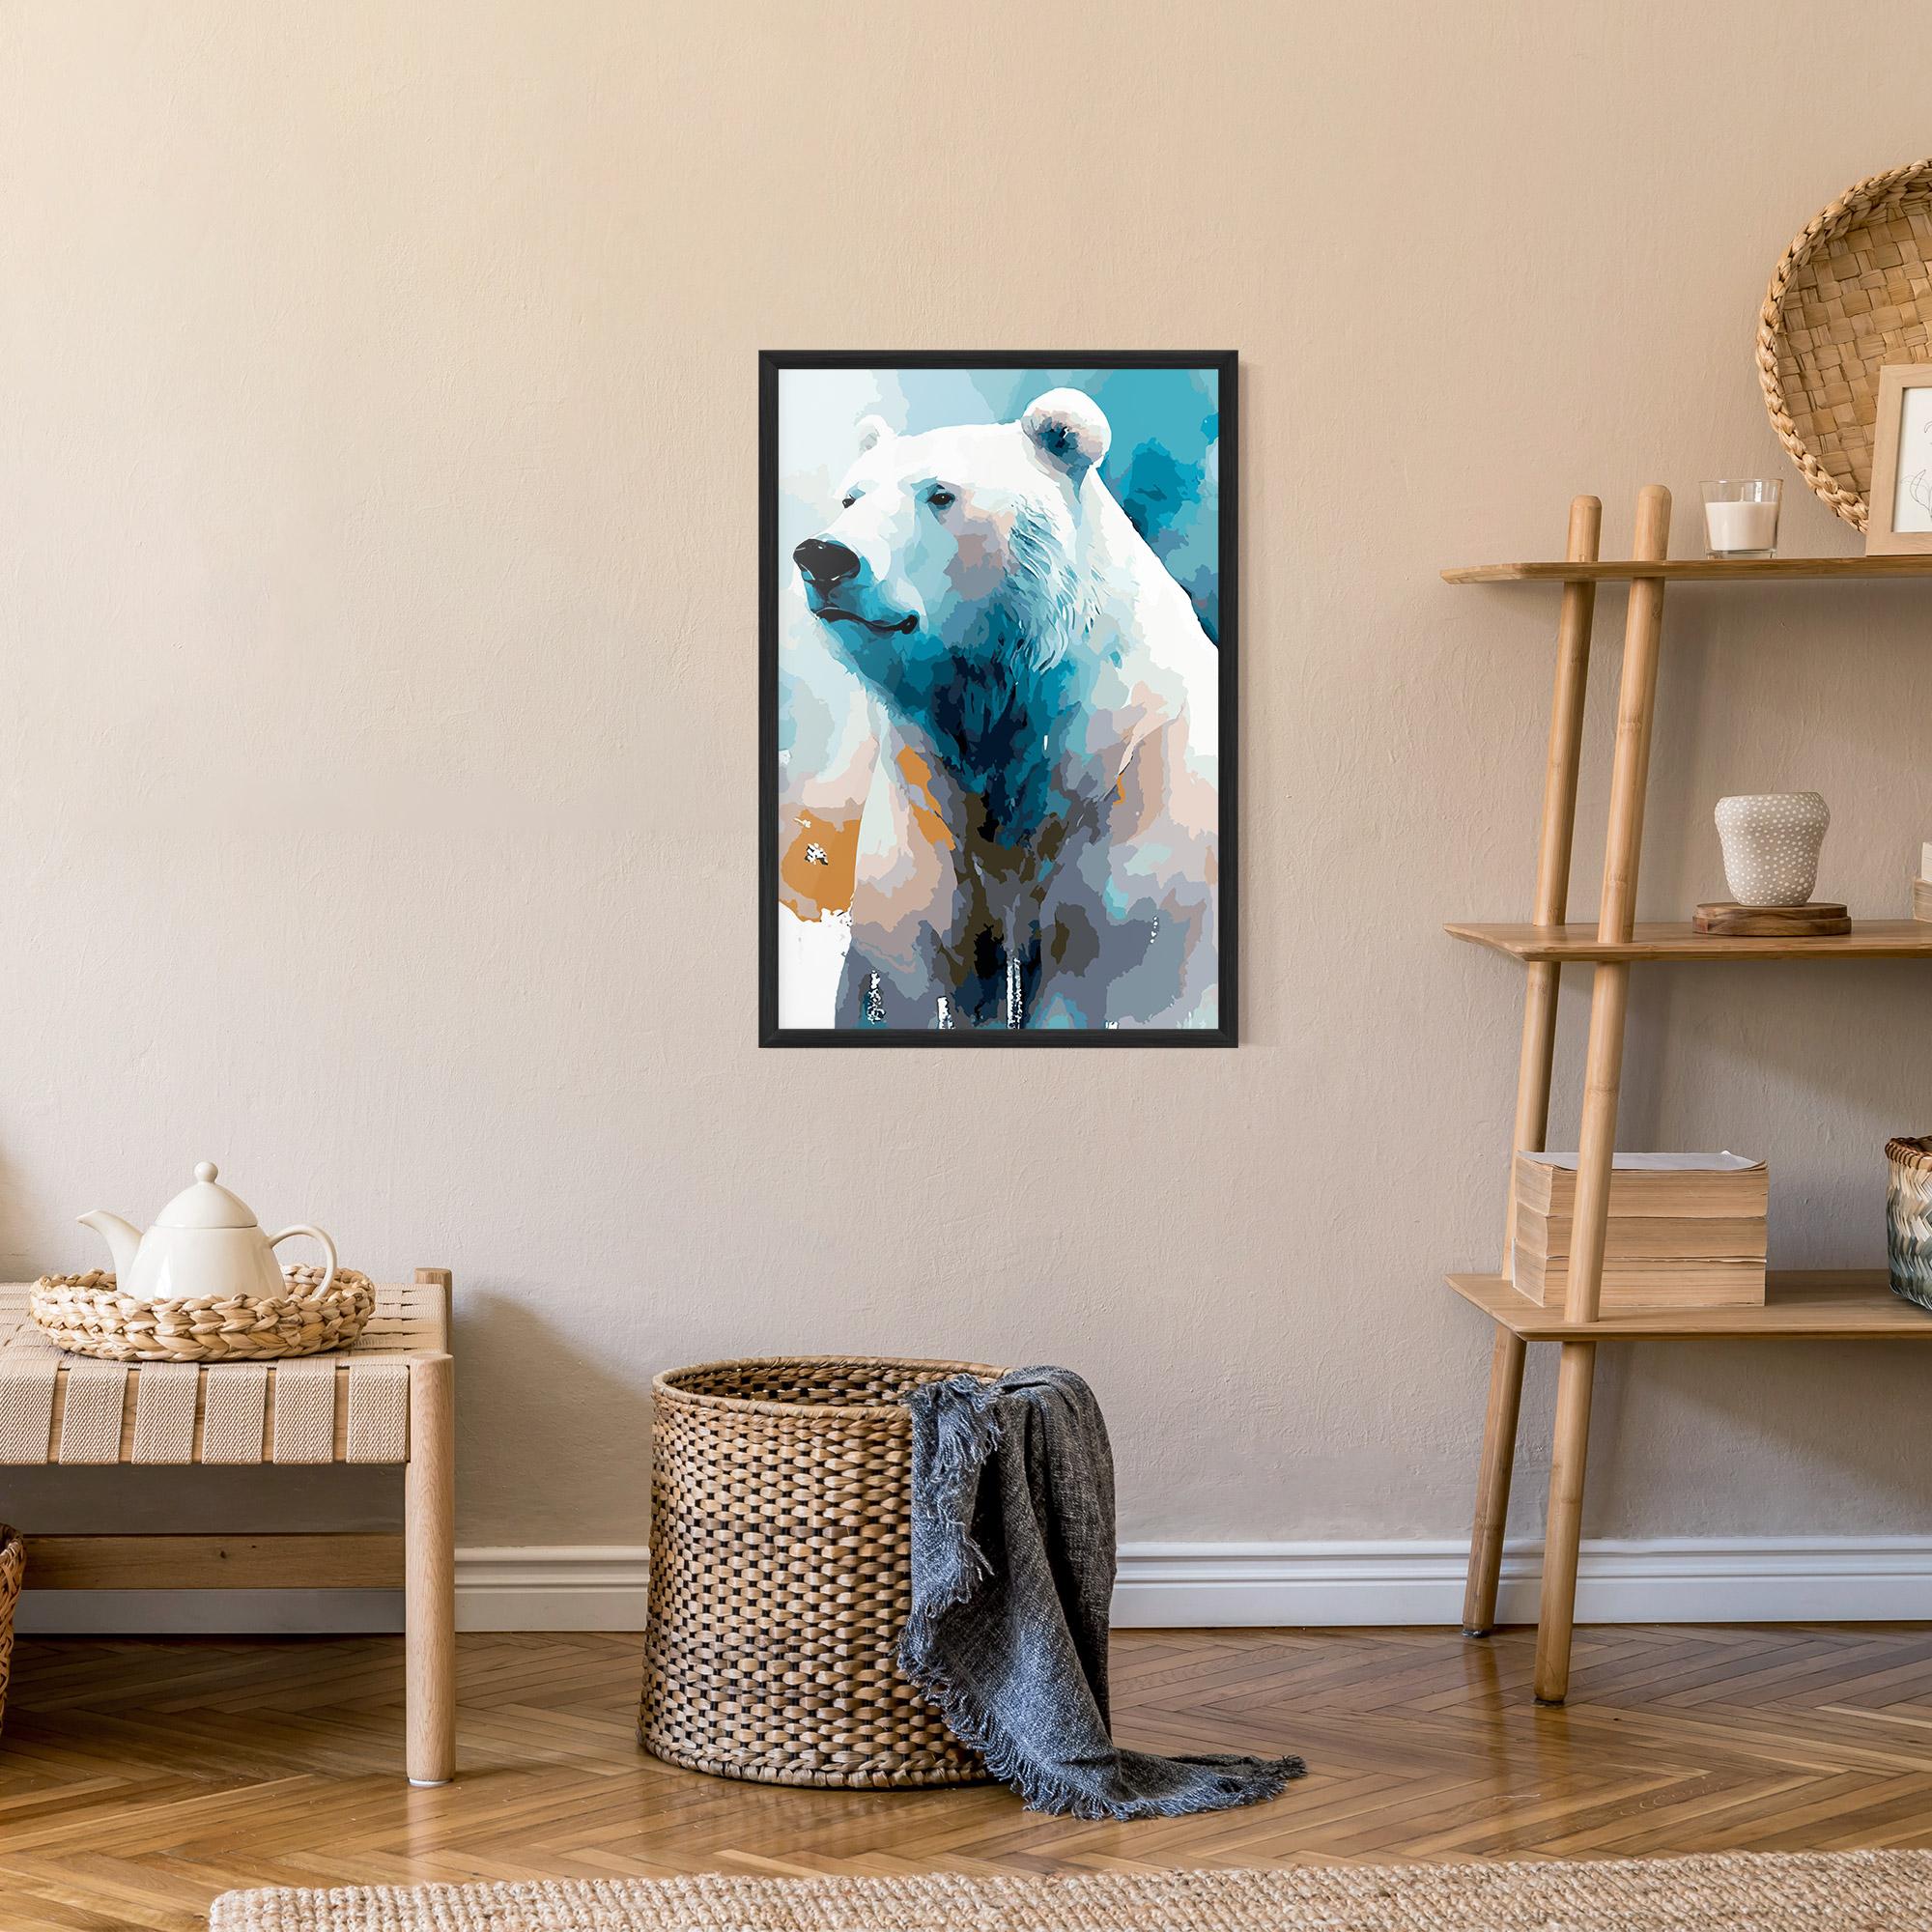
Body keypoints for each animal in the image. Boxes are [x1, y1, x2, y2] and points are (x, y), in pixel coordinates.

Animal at [790, 389, 1219, 1030]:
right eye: (851, 496)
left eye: (940, 494)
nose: (824, 556)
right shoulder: (926, 814)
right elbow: (906, 968)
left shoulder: (1141, 813)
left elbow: (1122, 979)